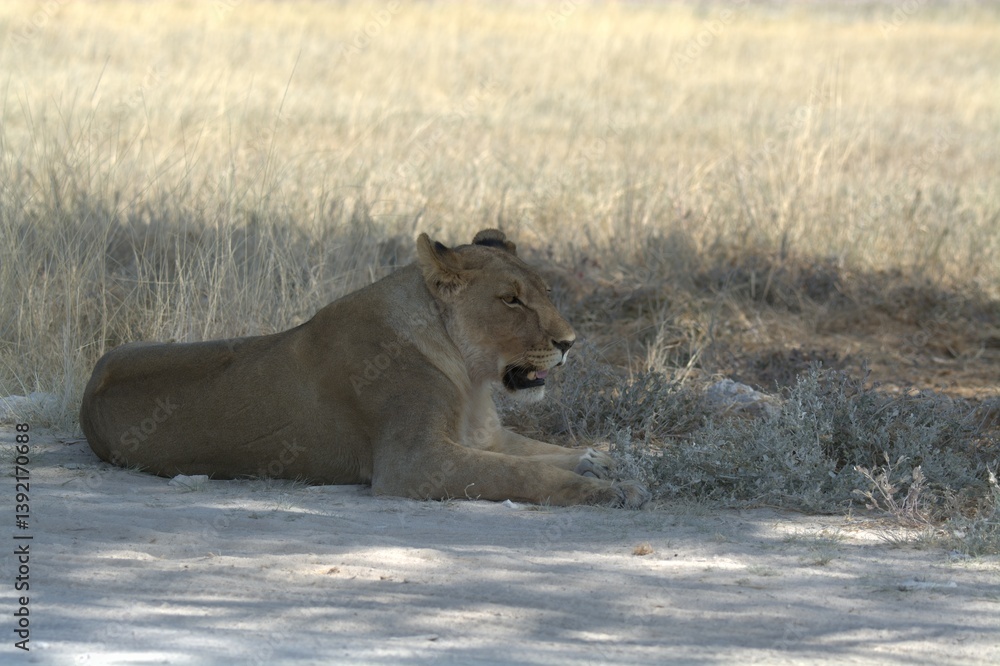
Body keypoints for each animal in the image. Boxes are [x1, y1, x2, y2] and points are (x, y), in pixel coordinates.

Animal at [80, 229, 650, 508]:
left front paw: (602, 461)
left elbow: (540, 452)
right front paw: (607, 489)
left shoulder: (482, 436)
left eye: (546, 292)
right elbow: (523, 472)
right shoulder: (414, 463)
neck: (470, 377)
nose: (569, 343)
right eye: (511, 300)